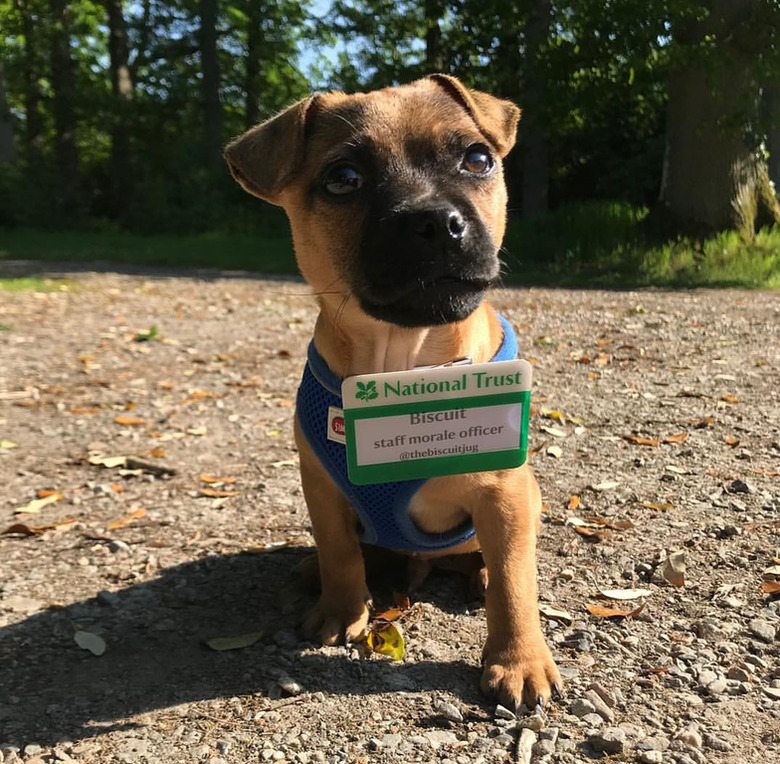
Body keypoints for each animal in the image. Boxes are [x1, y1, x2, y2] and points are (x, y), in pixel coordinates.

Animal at [224, 77, 560, 712]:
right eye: (343, 178)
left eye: (477, 158)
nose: (433, 220)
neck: (403, 366)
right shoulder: (322, 485)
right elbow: (338, 550)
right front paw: (340, 610)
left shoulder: (504, 492)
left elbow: (514, 580)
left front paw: (519, 661)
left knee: (499, 559)